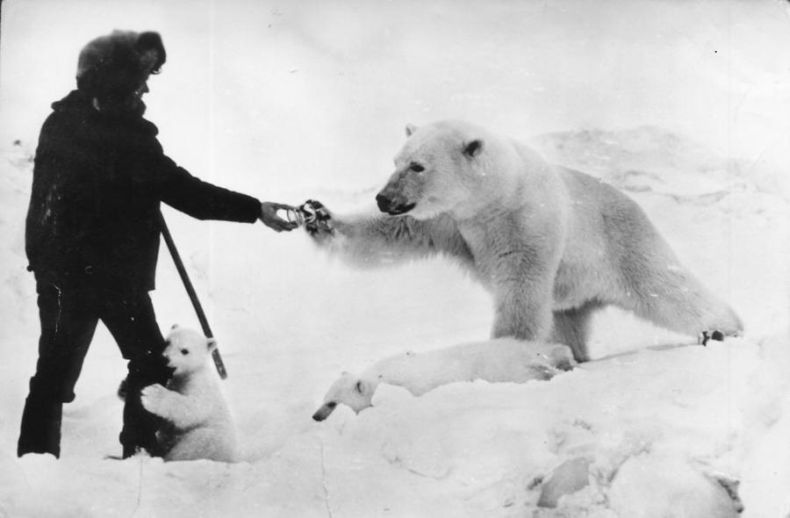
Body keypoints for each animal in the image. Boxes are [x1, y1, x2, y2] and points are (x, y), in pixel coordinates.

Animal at [304, 121, 744, 362]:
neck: (492, 198)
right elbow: (390, 234)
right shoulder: (448, 221)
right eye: (396, 161)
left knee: (667, 289)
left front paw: (503, 352)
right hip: (572, 291)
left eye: (418, 166)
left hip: (623, 244)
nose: (384, 197)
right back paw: (575, 355)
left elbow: (521, 286)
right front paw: (317, 215)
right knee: (566, 321)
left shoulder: (526, 221)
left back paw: (723, 330)